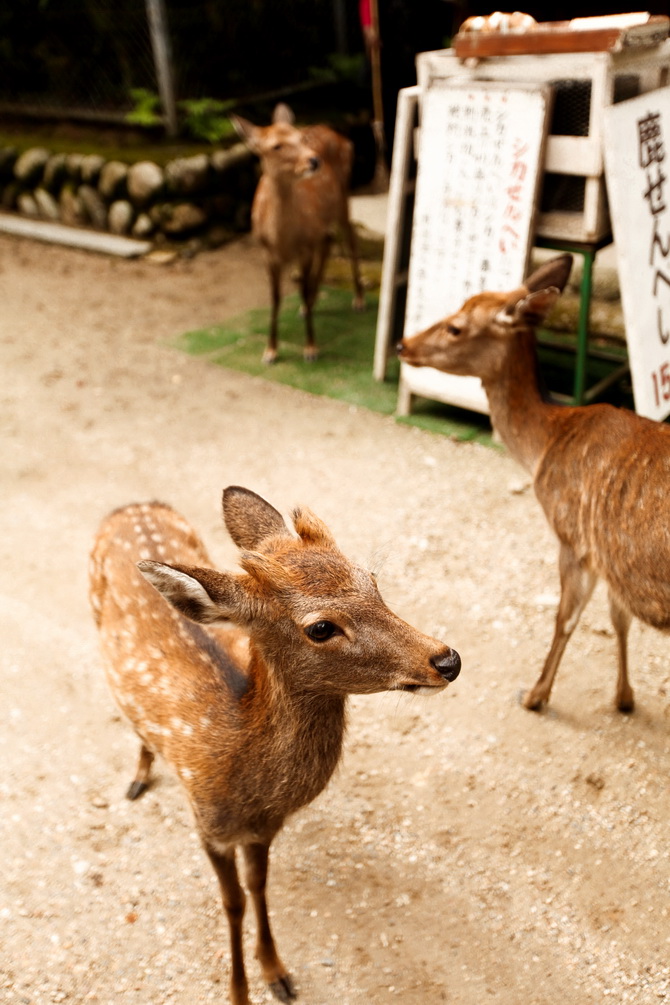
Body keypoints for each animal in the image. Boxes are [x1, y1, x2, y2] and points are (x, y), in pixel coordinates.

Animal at [90, 484, 462, 996]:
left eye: (372, 580)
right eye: (321, 627)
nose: (447, 660)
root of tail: (132, 505)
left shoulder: (265, 828)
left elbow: (258, 887)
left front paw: (276, 972)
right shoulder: (208, 826)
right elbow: (232, 903)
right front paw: (239, 991)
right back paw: (139, 777)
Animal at [232, 102, 367, 367]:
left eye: (299, 138)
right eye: (276, 145)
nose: (314, 160)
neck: (281, 238)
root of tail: (337, 133)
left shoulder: (304, 247)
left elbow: (301, 289)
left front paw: (311, 348)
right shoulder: (266, 252)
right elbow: (275, 298)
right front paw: (270, 351)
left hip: (343, 198)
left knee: (350, 239)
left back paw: (358, 299)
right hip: (323, 221)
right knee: (328, 241)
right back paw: (308, 306)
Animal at [401, 259, 666, 715]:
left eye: (456, 327)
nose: (403, 344)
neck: (546, 443)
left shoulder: (573, 536)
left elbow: (566, 618)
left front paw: (536, 694)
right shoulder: (612, 556)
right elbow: (620, 618)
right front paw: (624, 697)